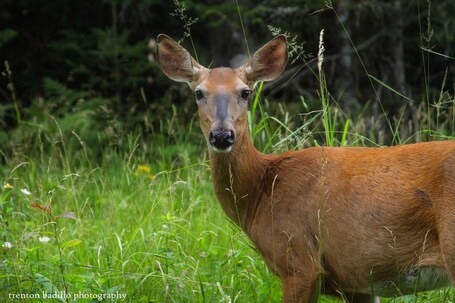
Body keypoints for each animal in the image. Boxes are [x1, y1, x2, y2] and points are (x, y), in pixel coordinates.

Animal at [157, 33, 455, 303]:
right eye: (199, 93)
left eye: (245, 92)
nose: (221, 135)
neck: (262, 190)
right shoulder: (357, 281)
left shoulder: (298, 260)